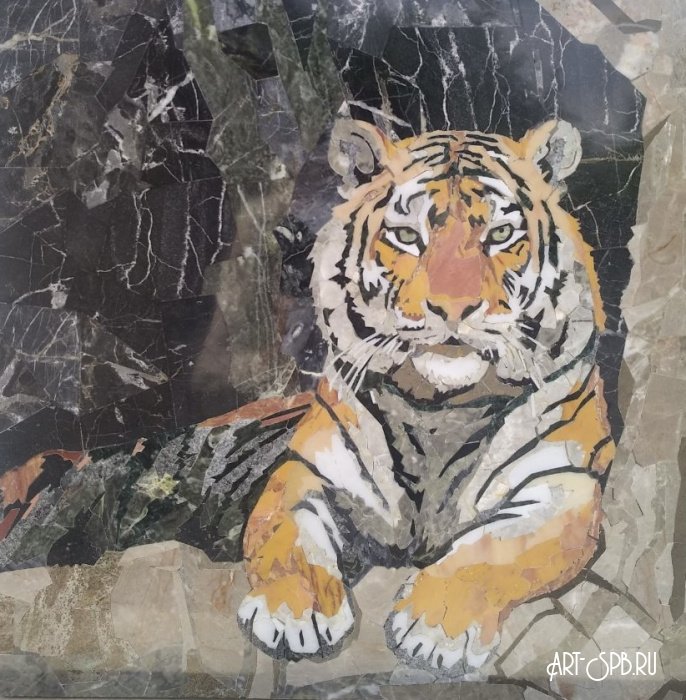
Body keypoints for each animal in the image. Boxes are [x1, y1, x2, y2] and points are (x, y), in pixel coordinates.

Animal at [237, 117, 614, 676]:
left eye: (499, 235)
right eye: (407, 236)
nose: (453, 308)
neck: (439, 406)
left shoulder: (563, 482)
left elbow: (488, 550)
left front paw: (434, 631)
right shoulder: (312, 469)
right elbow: (285, 535)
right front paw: (292, 615)